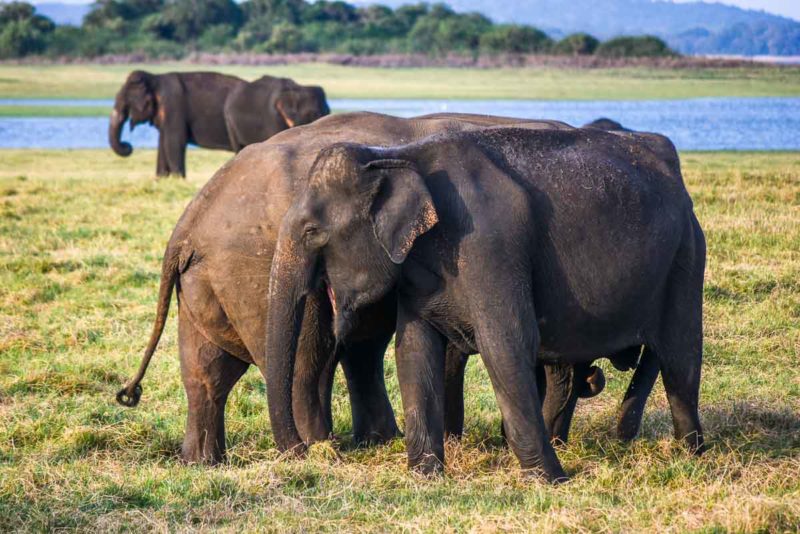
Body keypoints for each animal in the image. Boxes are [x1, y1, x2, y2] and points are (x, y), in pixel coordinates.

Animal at [108, 68, 328, 178]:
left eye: (125, 102)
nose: (128, 145)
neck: (155, 78)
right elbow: (168, 143)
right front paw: (165, 178)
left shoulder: (173, 107)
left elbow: (173, 142)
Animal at [264, 123, 708, 484]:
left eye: (312, 231)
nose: (306, 452)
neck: (399, 154)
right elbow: (414, 350)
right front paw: (426, 476)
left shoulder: (489, 246)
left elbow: (506, 345)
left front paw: (550, 481)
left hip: (686, 258)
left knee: (681, 359)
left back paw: (691, 457)